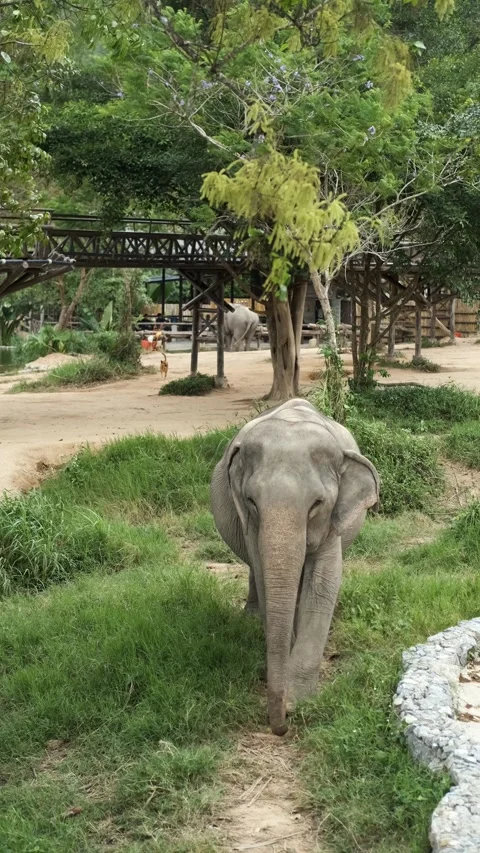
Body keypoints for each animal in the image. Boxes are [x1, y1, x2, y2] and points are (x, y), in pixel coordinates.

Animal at [210, 398, 379, 735]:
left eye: (316, 504)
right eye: (251, 501)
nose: (281, 727)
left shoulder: (332, 522)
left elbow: (324, 581)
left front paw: (300, 700)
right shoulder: (251, 526)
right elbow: (266, 576)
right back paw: (251, 617)